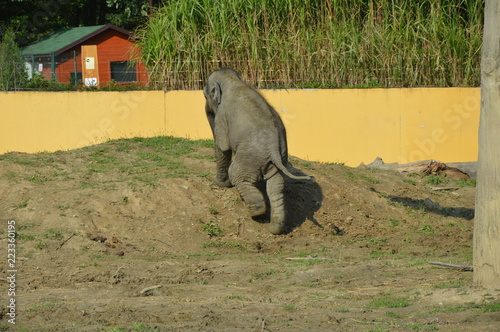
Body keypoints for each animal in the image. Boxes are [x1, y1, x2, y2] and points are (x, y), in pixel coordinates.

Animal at [204, 68, 312, 233]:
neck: (234, 81)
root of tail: (273, 148)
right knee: (276, 186)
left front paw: (218, 183)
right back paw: (274, 228)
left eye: (205, 94)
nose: (209, 110)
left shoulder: (222, 118)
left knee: (237, 174)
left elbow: (222, 147)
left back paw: (257, 212)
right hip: (276, 160)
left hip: (250, 157)